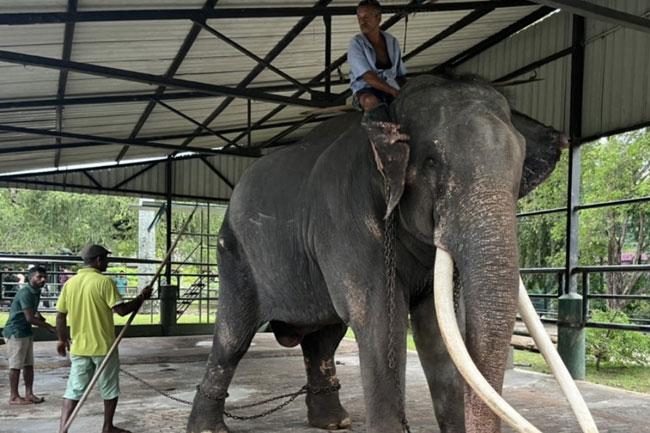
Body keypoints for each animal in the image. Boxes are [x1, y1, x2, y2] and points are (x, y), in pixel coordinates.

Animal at [186, 74, 569, 433]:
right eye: (432, 161)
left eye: (519, 171)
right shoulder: (346, 219)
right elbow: (381, 319)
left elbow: (439, 328)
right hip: (234, 253)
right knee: (233, 336)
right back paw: (208, 427)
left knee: (324, 339)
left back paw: (334, 422)